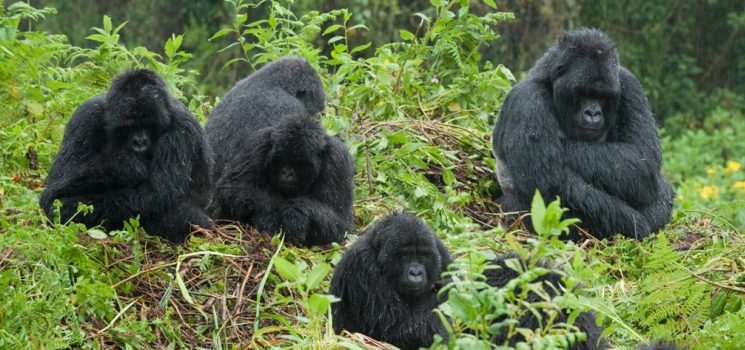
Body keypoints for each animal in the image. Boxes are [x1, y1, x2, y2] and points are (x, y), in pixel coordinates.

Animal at [40, 69, 211, 242]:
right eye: (130, 126)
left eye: (148, 125)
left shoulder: (182, 130)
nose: (140, 142)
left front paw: (68, 207)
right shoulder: (86, 115)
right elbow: (61, 173)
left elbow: (157, 194)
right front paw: (127, 167)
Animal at [328, 213, 450, 350]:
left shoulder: (440, 250)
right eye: (405, 257)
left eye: (422, 257)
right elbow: (395, 331)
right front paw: (450, 292)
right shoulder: (363, 264)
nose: (415, 273)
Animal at [492, 28, 676, 239]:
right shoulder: (528, 99)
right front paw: (636, 223)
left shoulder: (630, 84)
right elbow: (548, 187)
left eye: (603, 96)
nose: (593, 113)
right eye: (583, 93)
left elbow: (642, 159)